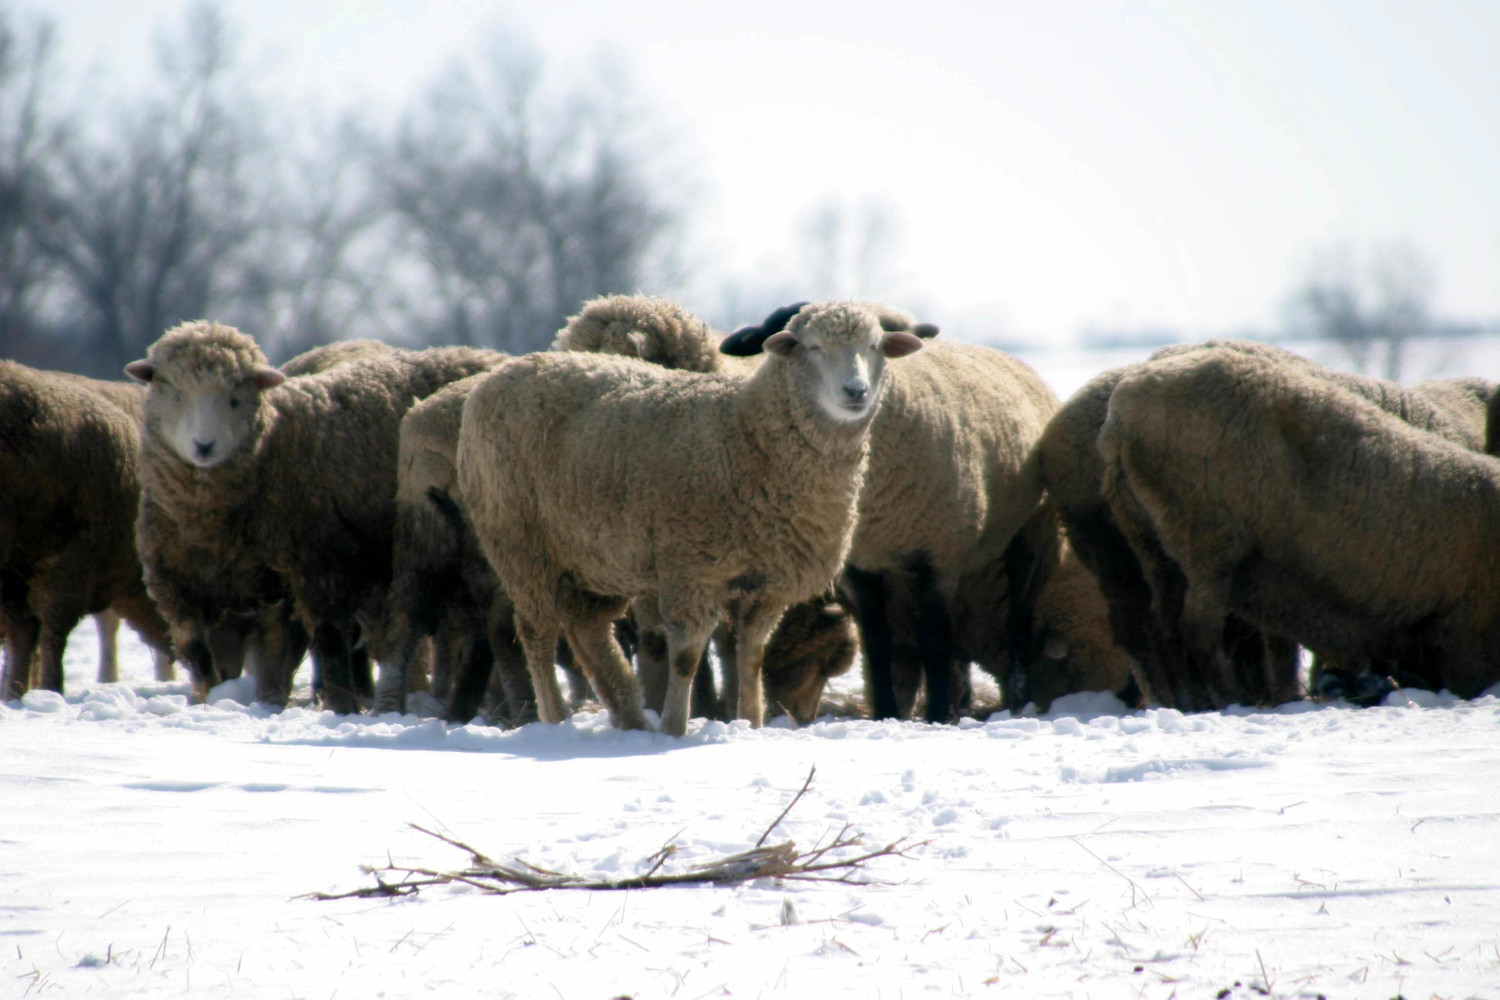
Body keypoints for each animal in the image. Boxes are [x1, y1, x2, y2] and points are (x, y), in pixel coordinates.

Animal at [126, 320, 495, 710]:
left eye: (235, 398)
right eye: (175, 393)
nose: (204, 446)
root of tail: (481, 353)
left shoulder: (306, 568)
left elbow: (315, 644)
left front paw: (331, 705)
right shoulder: (176, 587)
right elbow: (198, 655)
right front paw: (208, 700)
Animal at [456, 299, 924, 734]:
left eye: (875, 346)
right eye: (812, 347)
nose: (856, 390)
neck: (750, 436)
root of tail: (496, 377)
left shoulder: (768, 583)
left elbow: (751, 656)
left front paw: (750, 724)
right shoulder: (691, 569)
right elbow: (685, 657)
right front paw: (675, 729)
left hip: (591, 553)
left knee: (588, 627)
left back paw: (629, 714)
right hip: (519, 541)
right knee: (537, 633)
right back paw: (556, 719)